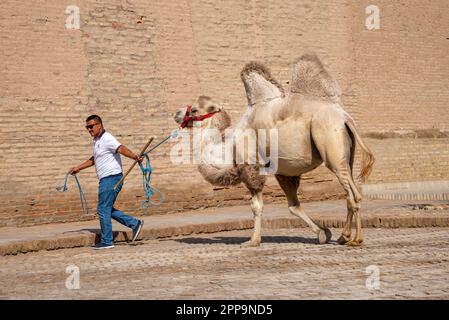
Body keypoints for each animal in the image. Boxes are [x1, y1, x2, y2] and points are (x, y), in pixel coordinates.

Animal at [173, 53, 372, 246]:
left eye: (194, 110)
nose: (177, 113)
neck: (229, 148)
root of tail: (344, 118)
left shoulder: (251, 168)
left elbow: (256, 206)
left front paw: (253, 241)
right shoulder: (283, 173)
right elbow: (293, 207)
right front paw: (323, 233)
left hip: (330, 144)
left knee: (353, 194)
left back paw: (356, 240)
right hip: (346, 154)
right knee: (349, 192)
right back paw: (343, 237)